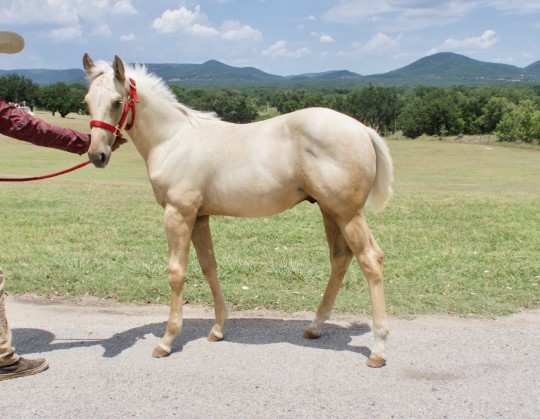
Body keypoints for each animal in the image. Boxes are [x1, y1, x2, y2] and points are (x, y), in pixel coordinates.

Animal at [83, 54, 392, 370]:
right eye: (87, 101)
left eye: (117, 102)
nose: (97, 155)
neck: (172, 139)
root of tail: (362, 129)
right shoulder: (199, 217)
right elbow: (209, 266)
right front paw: (218, 329)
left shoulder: (178, 214)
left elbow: (176, 272)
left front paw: (167, 341)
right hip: (331, 212)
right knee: (340, 258)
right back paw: (315, 327)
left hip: (347, 213)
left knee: (370, 259)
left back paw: (378, 348)